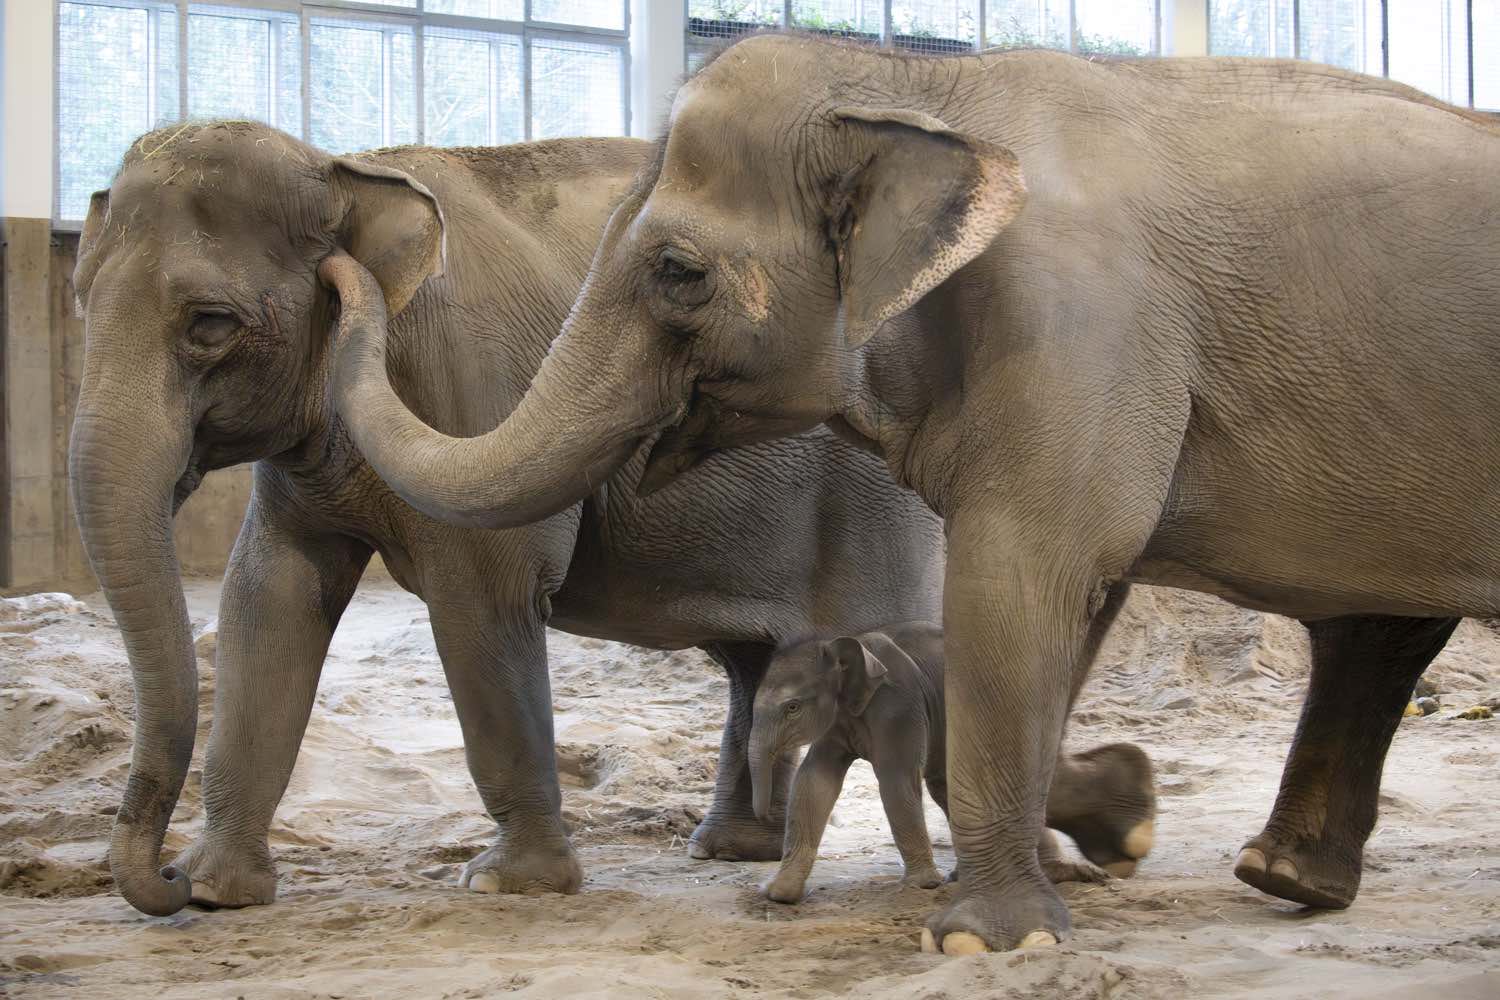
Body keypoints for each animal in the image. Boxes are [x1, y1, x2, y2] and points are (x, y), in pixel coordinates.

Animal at [748, 622, 1151, 904]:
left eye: (792, 707)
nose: (764, 815)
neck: (849, 642)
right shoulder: (838, 721)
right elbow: (815, 782)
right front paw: (778, 893)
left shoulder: (900, 706)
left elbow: (896, 780)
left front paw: (922, 886)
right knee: (953, 787)